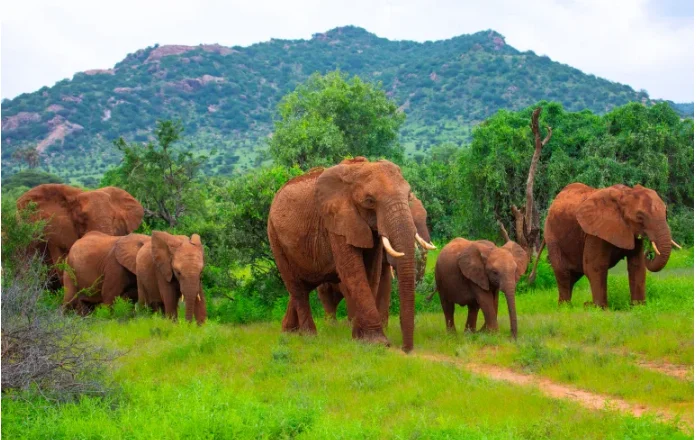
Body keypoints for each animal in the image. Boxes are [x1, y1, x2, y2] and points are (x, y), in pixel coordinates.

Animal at [540, 182, 676, 306]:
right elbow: (595, 266)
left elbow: (637, 266)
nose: (650, 253)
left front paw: (639, 306)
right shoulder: (595, 231)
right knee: (562, 272)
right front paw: (600, 308)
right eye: (640, 217)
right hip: (551, 235)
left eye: (666, 212)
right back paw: (566, 307)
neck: (626, 193)